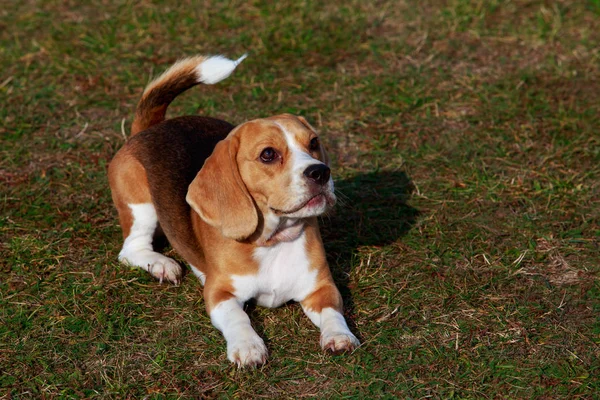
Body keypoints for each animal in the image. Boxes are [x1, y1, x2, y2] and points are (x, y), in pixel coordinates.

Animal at [108, 54, 358, 368]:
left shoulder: (322, 287)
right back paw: (161, 264)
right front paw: (248, 346)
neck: (273, 240)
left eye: (313, 143)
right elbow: (238, 317)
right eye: (268, 154)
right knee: (131, 249)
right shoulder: (219, 292)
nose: (320, 172)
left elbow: (333, 313)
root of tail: (149, 129)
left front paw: (339, 336)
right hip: (140, 206)